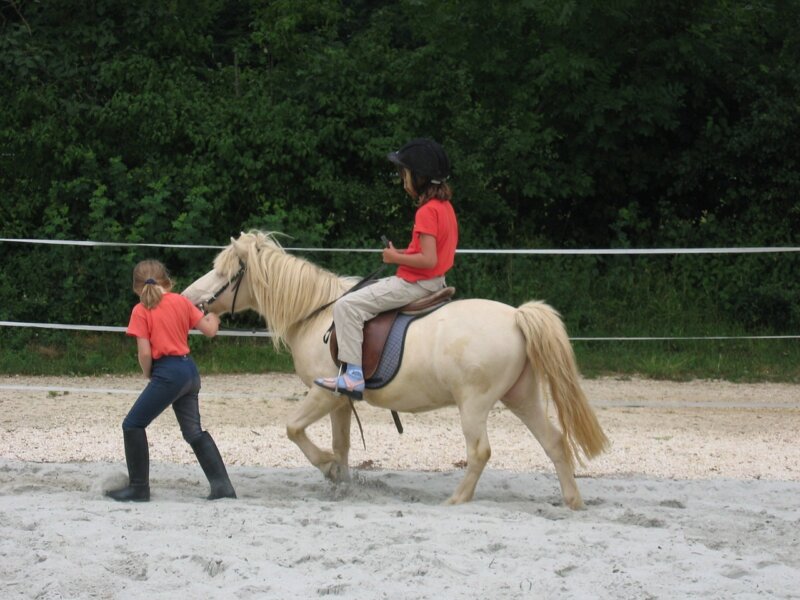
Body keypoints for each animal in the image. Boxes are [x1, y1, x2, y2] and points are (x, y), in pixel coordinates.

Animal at [181, 230, 608, 506]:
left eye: (223, 272)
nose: (188, 297)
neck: (317, 313)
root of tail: (517, 316)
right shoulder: (339, 400)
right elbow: (342, 444)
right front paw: (342, 482)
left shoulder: (322, 393)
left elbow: (294, 429)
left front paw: (328, 469)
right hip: (521, 396)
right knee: (554, 442)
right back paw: (572, 502)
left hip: (474, 404)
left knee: (480, 451)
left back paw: (456, 500)